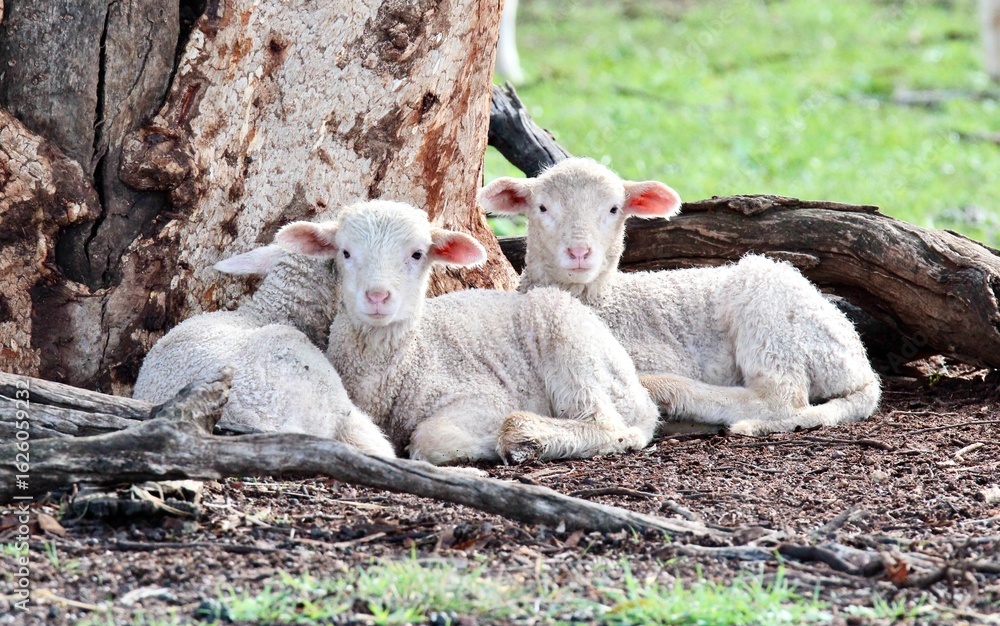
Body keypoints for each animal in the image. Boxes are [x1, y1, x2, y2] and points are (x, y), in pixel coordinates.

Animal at [274, 200, 659, 465]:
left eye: (417, 254)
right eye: (345, 252)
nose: (378, 297)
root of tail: (639, 390)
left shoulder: (482, 397)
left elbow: (431, 437)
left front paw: (484, 444)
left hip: (569, 336)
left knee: (608, 425)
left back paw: (525, 435)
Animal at [479, 157, 881, 436]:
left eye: (613, 209)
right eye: (542, 207)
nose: (579, 253)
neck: (606, 301)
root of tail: (861, 362)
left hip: (770, 306)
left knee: (780, 399)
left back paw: (671, 391)